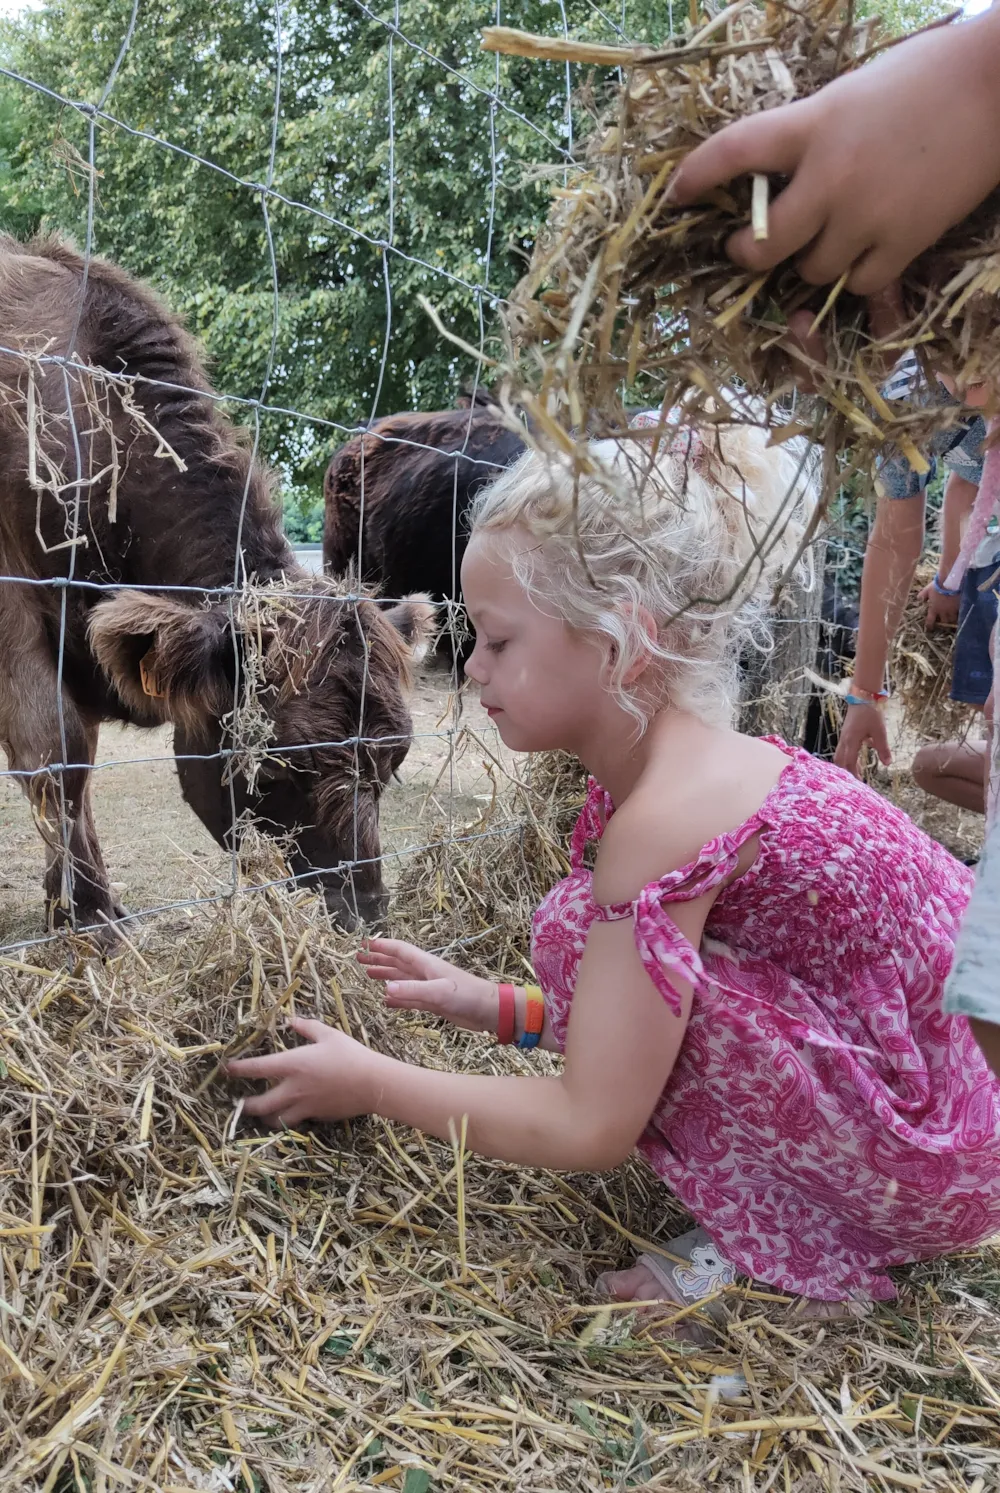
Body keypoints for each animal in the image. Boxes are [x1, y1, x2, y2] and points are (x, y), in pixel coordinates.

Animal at [0, 232, 435, 931]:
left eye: (394, 760)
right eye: (279, 767)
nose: (364, 912)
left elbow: (77, 764)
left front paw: (72, 903)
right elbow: (57, 758)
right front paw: (88, 916)